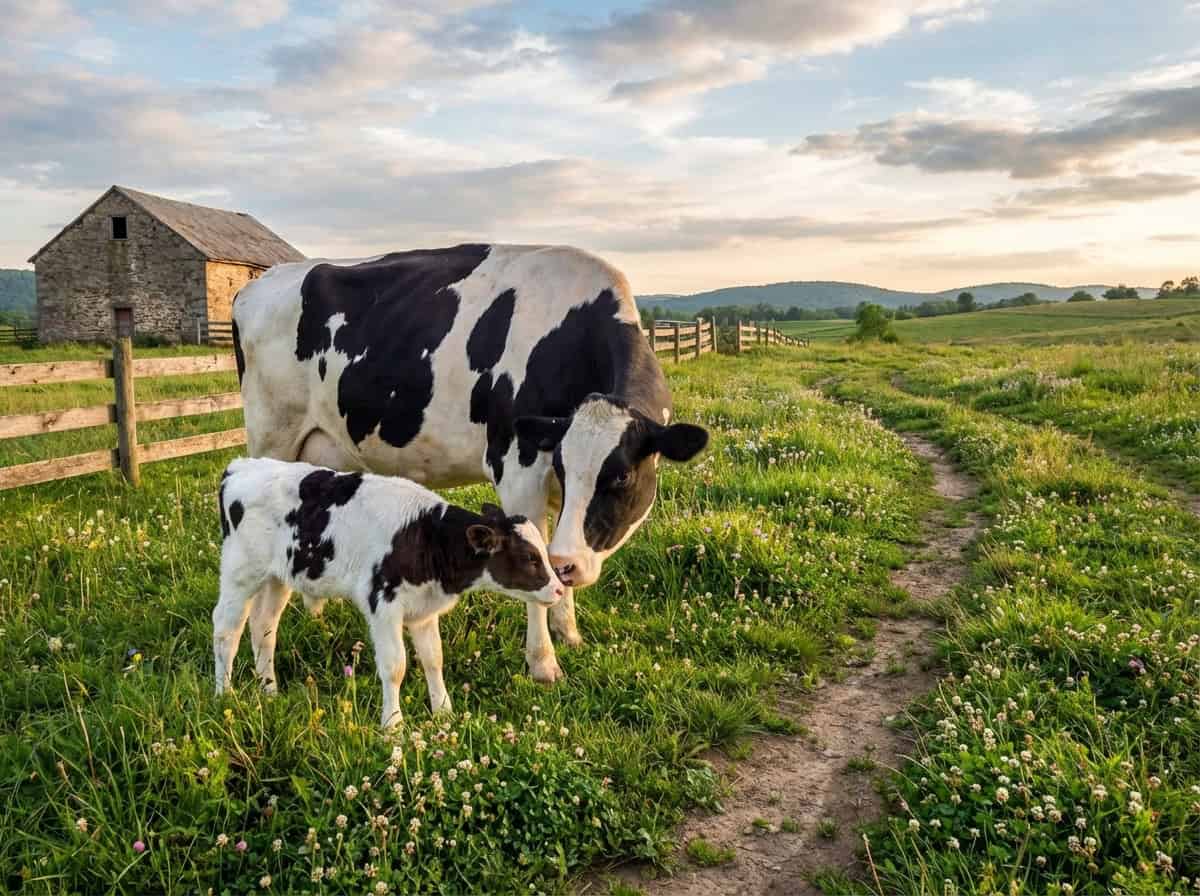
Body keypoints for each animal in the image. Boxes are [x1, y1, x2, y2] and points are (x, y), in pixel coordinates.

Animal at [214, 457, 564, 727]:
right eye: (530, 558)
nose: (560, 589)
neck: (424, 535)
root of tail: (240, 466)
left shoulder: (423, 610)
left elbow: (433, 660)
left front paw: (444, 713)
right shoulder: (383, 605)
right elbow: (395, 667)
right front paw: (393, 725)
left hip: (278, 577)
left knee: (263, 628)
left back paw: (269, 690)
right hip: (239, 572)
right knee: (226, 631)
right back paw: (224, 694)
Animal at [232, 244, 708, 684]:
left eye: (621, 476)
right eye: (568, 469)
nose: (570, 565)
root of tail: (259, 283)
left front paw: (569, 632)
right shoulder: (515, 464)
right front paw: (544, 663)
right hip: (271, 437)